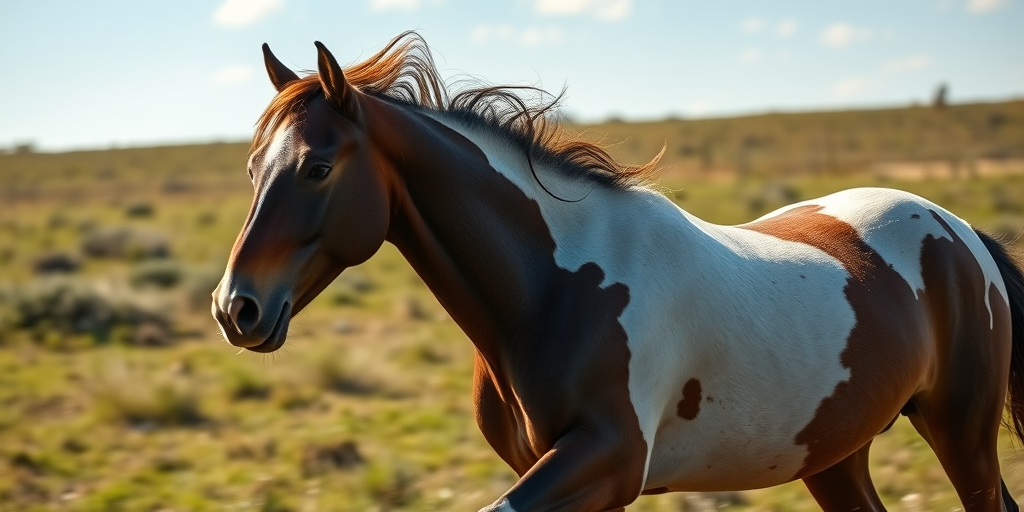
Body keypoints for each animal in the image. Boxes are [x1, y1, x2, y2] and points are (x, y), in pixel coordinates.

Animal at [211, 32, 1024, 511]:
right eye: (251, 168)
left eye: (318, 166)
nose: (234, 308)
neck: (555, 291)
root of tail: (956, 230)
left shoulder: (609, 461)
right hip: (834, 455)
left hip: (962, 434)